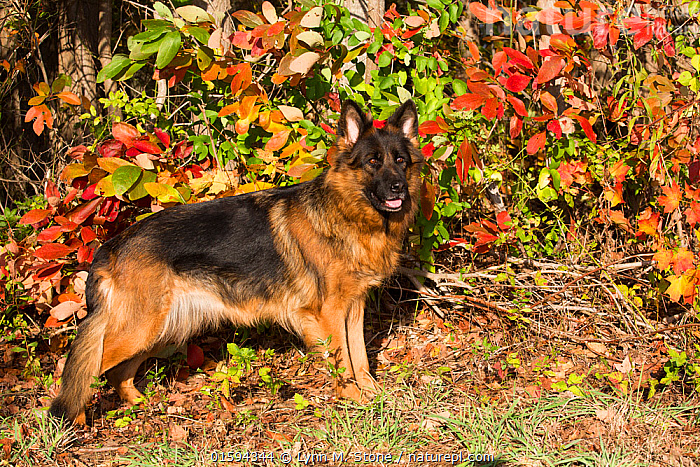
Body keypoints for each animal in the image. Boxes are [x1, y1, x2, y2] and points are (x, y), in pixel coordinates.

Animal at [50, 98, 422, 424]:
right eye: (373, 161)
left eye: (401, 161)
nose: (398, 188)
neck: (344, 213)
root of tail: (112, 245)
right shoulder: (329, 313)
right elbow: (344, 360)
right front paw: (354, 398)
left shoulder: (354, 306)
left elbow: (360, 356)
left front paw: (372, 394)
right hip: (140, 328)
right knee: (83, 370)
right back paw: (75, 420)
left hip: (159, 328)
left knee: (116, 374)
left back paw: (141, 404)